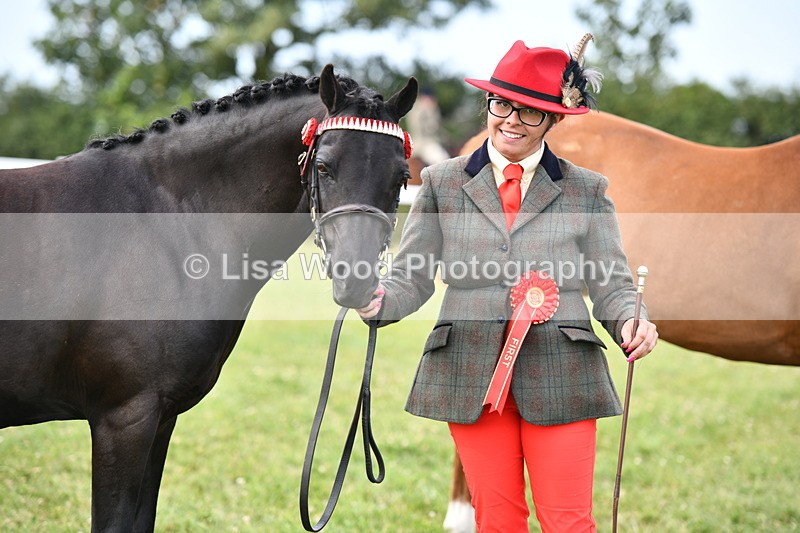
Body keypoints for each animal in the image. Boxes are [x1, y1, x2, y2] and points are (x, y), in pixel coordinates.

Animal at [0, 64, 417, 532]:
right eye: (324, 166)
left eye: (402, 177)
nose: (357, 280)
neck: (164, 222)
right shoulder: (123, 419)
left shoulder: (160, 418)